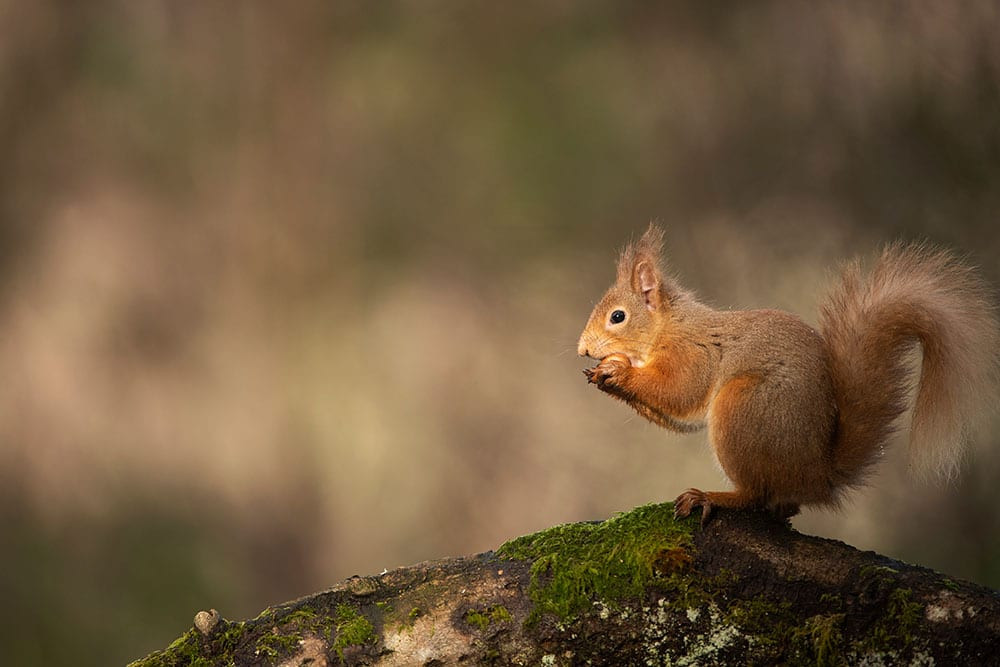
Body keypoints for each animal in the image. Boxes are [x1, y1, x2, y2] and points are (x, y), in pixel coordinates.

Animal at [578, 224, 1000, 524]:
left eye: (618, 316)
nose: (583, 349)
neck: (668, 326)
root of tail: (816, 475)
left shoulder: (693, 354)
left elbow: (680, 392)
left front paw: (618, 370)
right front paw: (605, 373)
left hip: (743, 408)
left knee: (756, 495)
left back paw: (714, 498)